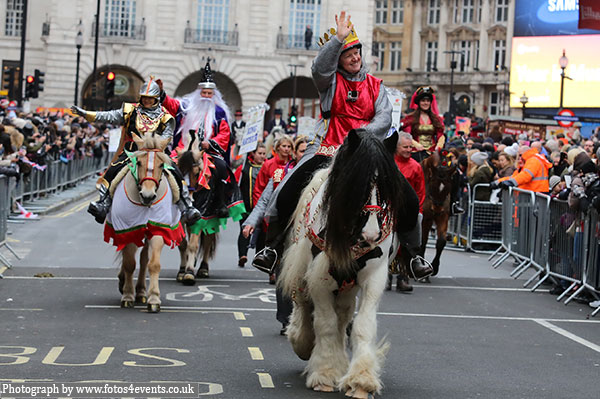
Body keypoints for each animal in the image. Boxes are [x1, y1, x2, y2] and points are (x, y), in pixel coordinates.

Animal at [420, 148, 458, 276]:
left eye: (448, 188)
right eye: (432, 185)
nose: (436, 209)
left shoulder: (443, 216)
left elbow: (441, 242)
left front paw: (434, 268)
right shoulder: (425, 218)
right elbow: (422, 241)